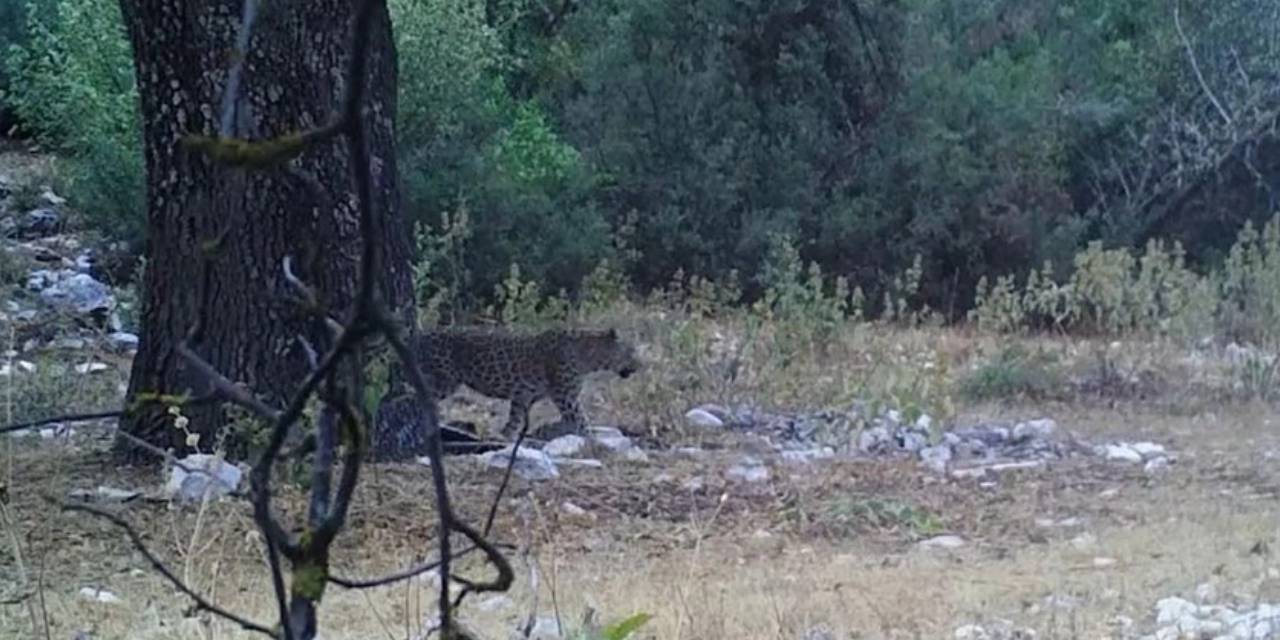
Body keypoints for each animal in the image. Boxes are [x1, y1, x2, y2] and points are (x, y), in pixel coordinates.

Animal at [407, 325, 637, 440]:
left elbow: (513, 422)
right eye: (631, 351)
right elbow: (582, 420)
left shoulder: (522, 397)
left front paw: (503, 438)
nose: (638, 365)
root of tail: (420, 334)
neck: (590, 359)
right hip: (444, 381)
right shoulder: (565, 397)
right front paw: (596, 441)